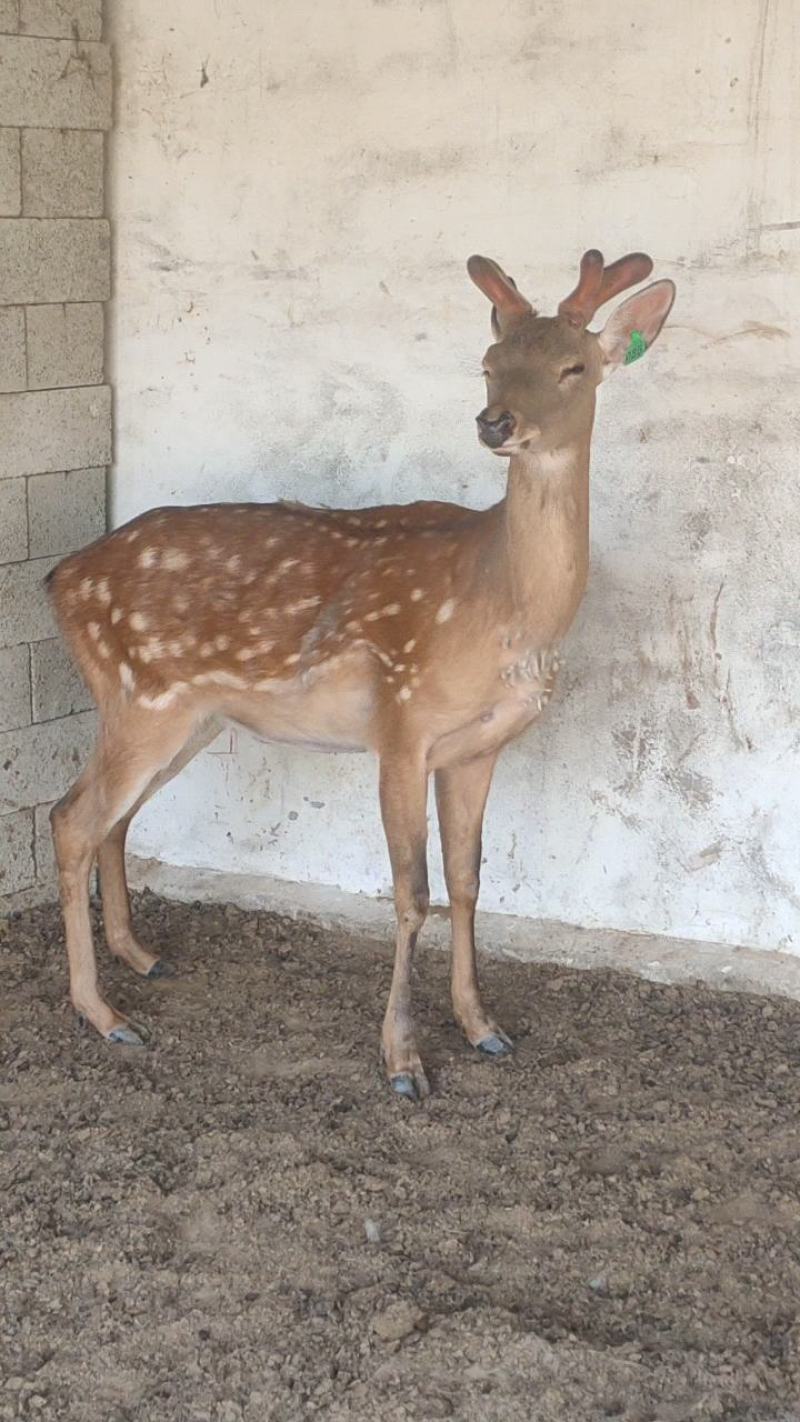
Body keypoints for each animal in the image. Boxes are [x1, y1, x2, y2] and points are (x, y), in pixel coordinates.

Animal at [46, 247, 675, 1100]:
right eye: (488, 365)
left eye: (574, 366)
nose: (496, 422)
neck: (499, 605)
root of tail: (57, 579)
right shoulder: (402, 722)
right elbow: (412, 894)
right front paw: (403, 1061)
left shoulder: (480, 746)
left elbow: (469, 880)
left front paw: (482, 1026)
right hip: (141, 697)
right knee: (72, 819)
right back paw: (102, 1014)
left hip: (186, 716)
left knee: (113, 818)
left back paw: (141, 957)